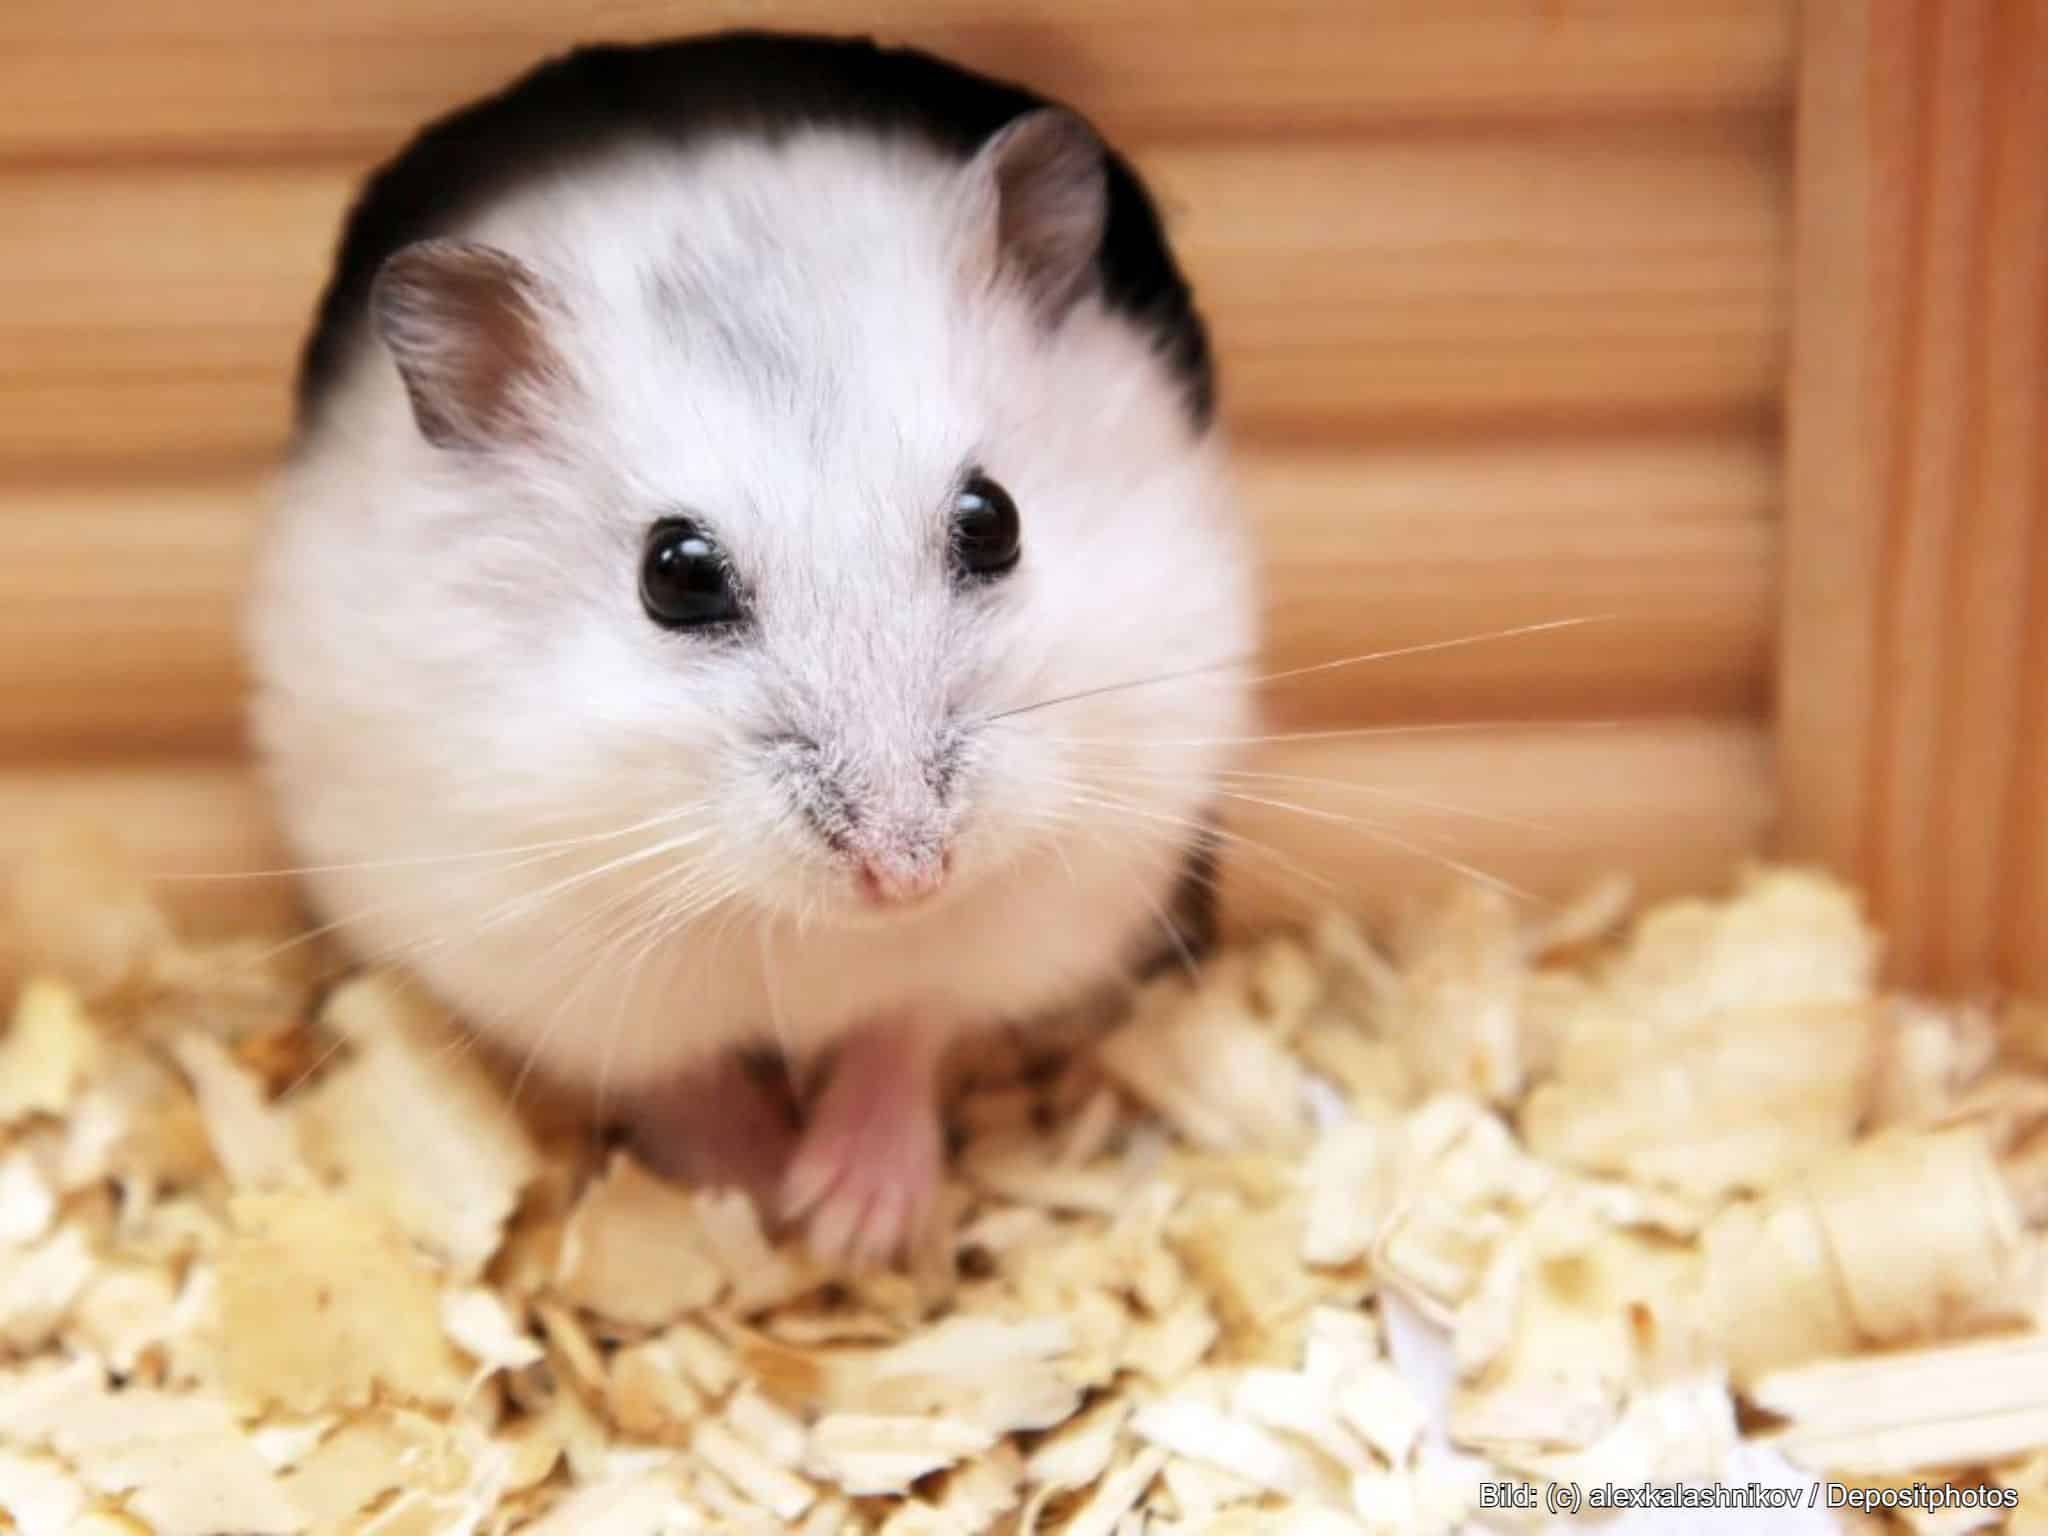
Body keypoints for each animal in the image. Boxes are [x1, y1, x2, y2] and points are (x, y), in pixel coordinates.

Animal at [245, 32, 1257, 1266]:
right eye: (675, 574)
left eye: (994, 520)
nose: (907, 874)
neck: (807, 928)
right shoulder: (547, 957)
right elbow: (677, 1083)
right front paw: (759, 1195)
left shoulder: (1019, 916)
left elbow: (906, 1026)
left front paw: (845, 1221)